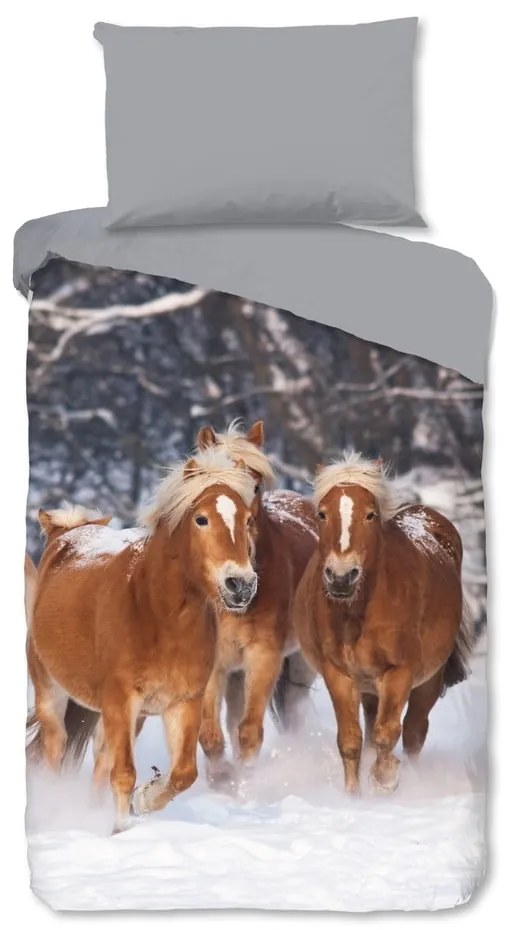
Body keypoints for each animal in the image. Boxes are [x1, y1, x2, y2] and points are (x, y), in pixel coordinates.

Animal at [27, 449, 258, 831]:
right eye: (201, 519)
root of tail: (68, 532)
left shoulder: (182, 702)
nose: (241, 584)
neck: (158, 617)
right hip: (51, 691)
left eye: (249, 520)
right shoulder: (121, 700)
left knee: (101, 758)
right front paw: (123, 827)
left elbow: (183, 774)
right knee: (55, 748)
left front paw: (144, 800)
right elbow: (123, 773)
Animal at [195, 420, 318, 774]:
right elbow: (210, 734)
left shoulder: (263, 656)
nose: (241, 582)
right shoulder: (215, 664)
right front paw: (221, 778)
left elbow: (249, 732)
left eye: (256, 485)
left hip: (300, 663)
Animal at [294, 452, 470, 794]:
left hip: (429, 679)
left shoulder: (399, 673)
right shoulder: (339, 674)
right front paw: (354, 796)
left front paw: (385, 780)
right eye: (322, 514)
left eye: (370, 515)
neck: (358, 614)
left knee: (414, 730)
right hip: (370, 688)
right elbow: (351, 740)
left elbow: (388, 734)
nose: (341, 576)